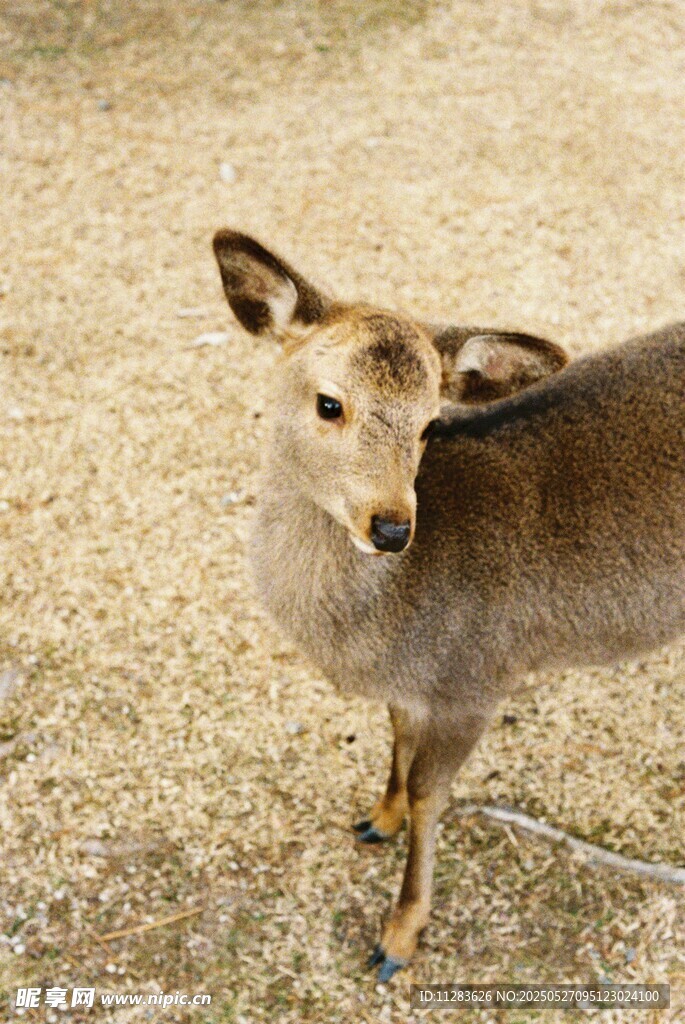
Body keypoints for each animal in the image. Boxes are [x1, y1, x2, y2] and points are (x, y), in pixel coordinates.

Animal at [212, 229, 685, 982]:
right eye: (328, 403)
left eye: (432, 424)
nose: (391, 528)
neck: (383, 630)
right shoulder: (414, 689)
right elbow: (399, 747)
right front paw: (377, 819)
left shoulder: (476, 678)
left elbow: (432, 792)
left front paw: (397, 938)